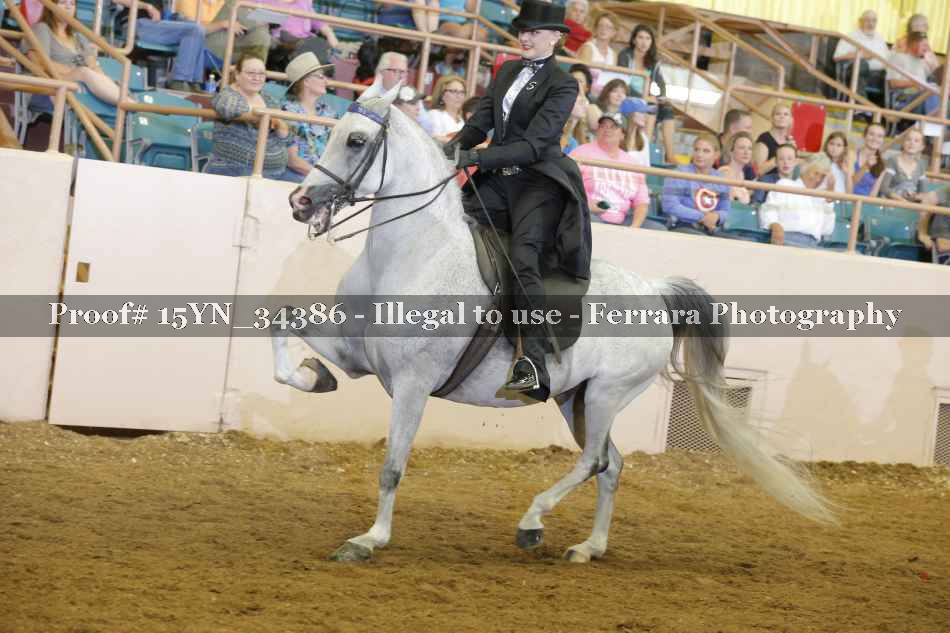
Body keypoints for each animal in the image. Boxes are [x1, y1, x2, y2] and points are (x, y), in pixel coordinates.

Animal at [277, 81, 836, 563]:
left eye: (355, 140)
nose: (300, 202)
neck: (415, 254)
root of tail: (655, 292)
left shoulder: (414, 383)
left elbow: (392, 466)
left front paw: (369, 539)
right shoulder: (357, 354)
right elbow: (286, 326)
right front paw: (314, 376)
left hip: (608, 393)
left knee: (594, 462)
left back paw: (532, 523)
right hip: (576, 399)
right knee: (612, 466)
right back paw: (589, 547)